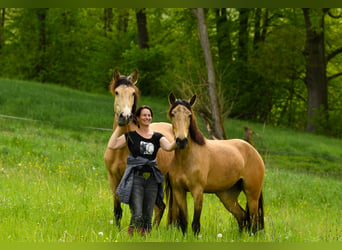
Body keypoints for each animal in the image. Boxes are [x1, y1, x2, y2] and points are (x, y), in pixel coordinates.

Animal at [167, 93, 266, 235]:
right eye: (173, 114)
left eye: (189, 115)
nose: (181, 141)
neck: (186, 160)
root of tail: (254, 151)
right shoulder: (178, 191)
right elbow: (184, 223)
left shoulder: (198, 191)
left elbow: (195, 224)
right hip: (227, 196)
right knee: (242, 217)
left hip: (252, 195)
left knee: (253, 221)